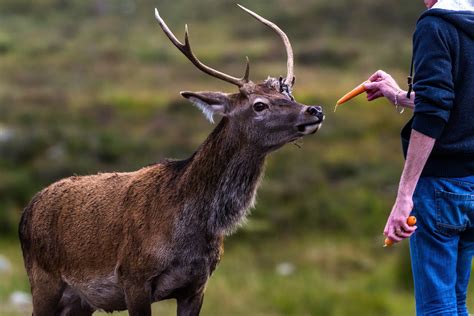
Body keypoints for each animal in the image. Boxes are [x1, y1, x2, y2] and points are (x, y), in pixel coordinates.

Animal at [17, 4, 322, 316]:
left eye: (289, 95)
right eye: (259, 105)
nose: (315, 110)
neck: (191, 229)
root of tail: (28, 209)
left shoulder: (196, 285)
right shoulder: (133, 277)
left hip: (80, 301)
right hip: (43, 280)